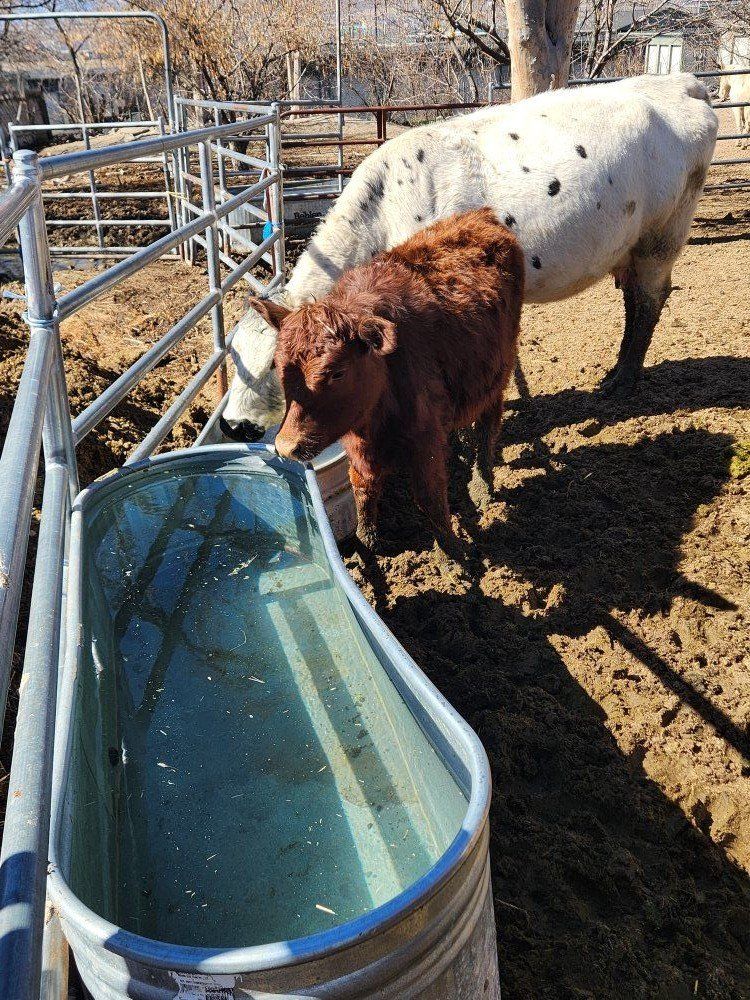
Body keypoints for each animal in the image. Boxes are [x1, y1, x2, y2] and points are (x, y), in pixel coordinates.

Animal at [220, 73, 717, 443]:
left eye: (275, 365)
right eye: (233, 355)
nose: (230, 425)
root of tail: (681, 83)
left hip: (662, 236)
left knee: (648, 305)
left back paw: (622, 381)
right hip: (633, 247)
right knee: (635, 303)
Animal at [247, 209, 524, 559]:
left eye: (337, 372)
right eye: (278, 365)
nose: (286, 446)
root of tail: (480, 215)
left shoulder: (425, 438)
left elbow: (431, 497)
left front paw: (453, 553)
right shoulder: (358, 443)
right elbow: (362, 486)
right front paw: (368, 541)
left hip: (499, 370)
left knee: (489, 423)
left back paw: (483, 484)